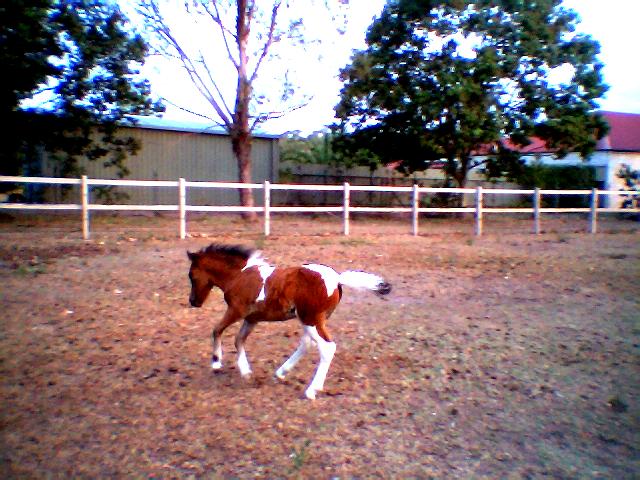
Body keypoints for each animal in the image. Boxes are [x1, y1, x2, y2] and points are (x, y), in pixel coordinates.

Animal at [187, 243, 392, 400]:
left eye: (191, 275)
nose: (193, 301)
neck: (239, 275)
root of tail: (337, 279)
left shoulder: (236, 311)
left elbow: (217, 329)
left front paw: (216, 362)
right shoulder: (252, 319)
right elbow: (239, 340)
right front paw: (245, 371)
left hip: (310, 319)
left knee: (326, 347)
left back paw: (311, 390)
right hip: (310, 319)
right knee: (308, 343)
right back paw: (281, 372)